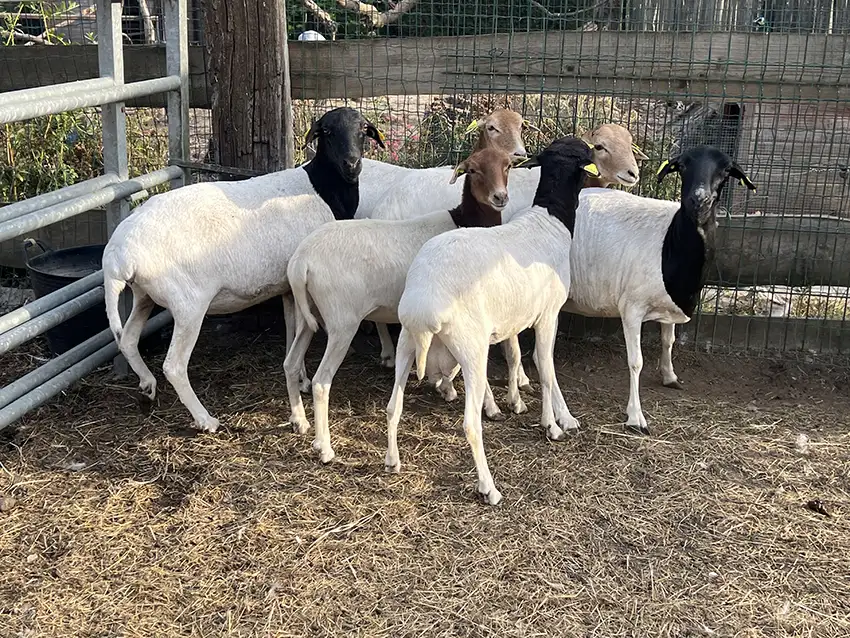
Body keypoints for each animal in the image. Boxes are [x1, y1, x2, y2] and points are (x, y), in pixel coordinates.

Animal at [103, 107, 385, 433]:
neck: (325, 190)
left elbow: (292, 329)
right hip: (188, 303)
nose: (352, 164)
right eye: (326, 132)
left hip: (144, 295)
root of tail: (118, 255)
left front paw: (300, 377)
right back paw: (206, 420)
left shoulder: (287, 286)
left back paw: (147, 387)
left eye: (364, 129)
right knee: (173, 365)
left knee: (128, 339)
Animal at [284, 147, 514, 463]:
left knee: (291, 363)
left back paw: (300, 421)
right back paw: (325, 448)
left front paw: (447, 388)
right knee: (321, 382)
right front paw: (487, 404)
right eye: (474, 170)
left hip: (310, 313)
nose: (499, 197)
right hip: (342, 320)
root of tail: (301, 261)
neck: (462, 221)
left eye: (507, 166)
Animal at [385, 137, 600, 506]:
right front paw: (553, 425)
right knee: (471, 425)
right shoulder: (548, 314)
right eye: (585, 154)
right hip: (470, 348)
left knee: (392, 406)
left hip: (406, 343)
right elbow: (546, 368)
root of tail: (425, 306)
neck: (551, 219)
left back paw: (392, 461)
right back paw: (490, 488)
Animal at [565, 145, 756, 435]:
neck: (671, 242)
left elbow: (669, 341)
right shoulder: (631, 308)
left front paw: (670, 376)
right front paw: (635, 416)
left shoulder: (670, 305)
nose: (698, 200)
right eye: (683, 166)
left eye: (726, 170)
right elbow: (636, 361)